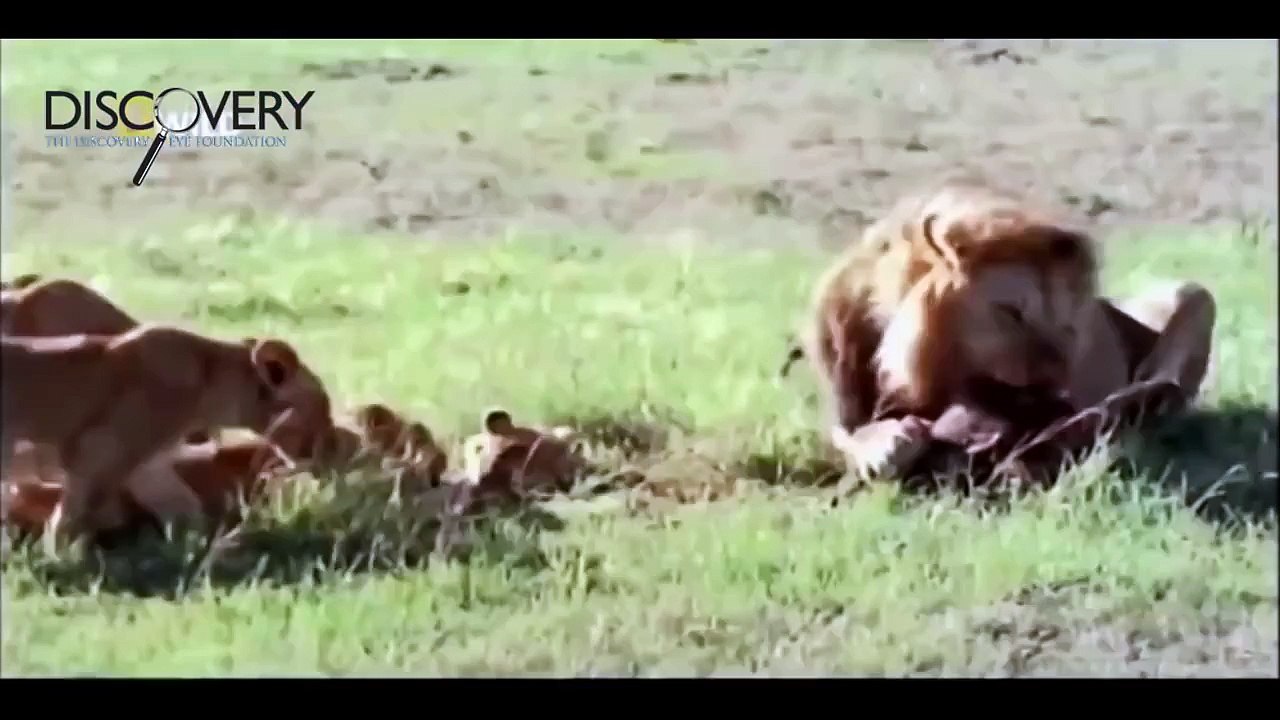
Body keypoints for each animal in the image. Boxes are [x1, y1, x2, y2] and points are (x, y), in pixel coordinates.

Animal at [1, 324, 332, 548]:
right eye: (323, 407)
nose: (326, 453)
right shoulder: (95, 455)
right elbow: (68, 518)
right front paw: (60, 560)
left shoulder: (148, 467)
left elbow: (186, 508)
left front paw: (206, 547)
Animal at [799, 179, 1215, 480]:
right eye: (1013, 313)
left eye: (1071, 324)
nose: (1062, 395)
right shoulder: (842, 412)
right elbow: (853, 436)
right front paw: (888, 443)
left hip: (1196, 293)